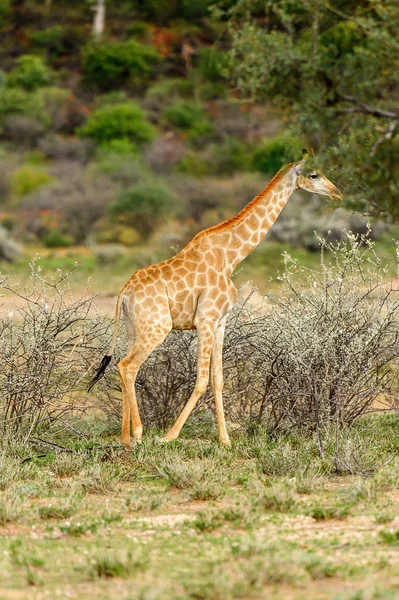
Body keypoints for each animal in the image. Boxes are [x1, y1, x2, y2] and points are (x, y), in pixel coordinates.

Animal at [89, 149, 342, 448]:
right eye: (313, 174)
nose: (337, 193)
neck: (231, 257)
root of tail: (124, 293)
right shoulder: (206, 320)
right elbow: (200, 380)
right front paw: (170, 436)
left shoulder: (221, 322)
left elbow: (218, 379)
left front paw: (225, 440)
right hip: (157, 328)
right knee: (128, 366)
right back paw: (137, 434)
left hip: (134, 329)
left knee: (123, 366)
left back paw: (125, 437)